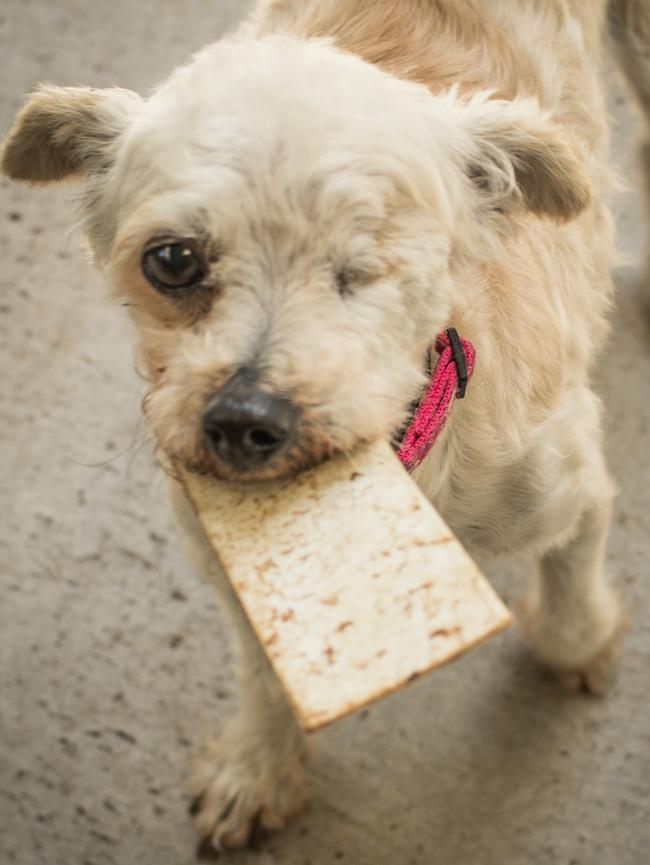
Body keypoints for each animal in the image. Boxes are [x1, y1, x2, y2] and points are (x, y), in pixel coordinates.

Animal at [1, 0, 644, 852]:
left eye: (366, 266)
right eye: (171, 260)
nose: (244, 421)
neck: (409, 464)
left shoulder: (572, 489)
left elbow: (571, 594)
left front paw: (584, 647)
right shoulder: (238, 572)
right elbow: (265, 668)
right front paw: (257, 765)